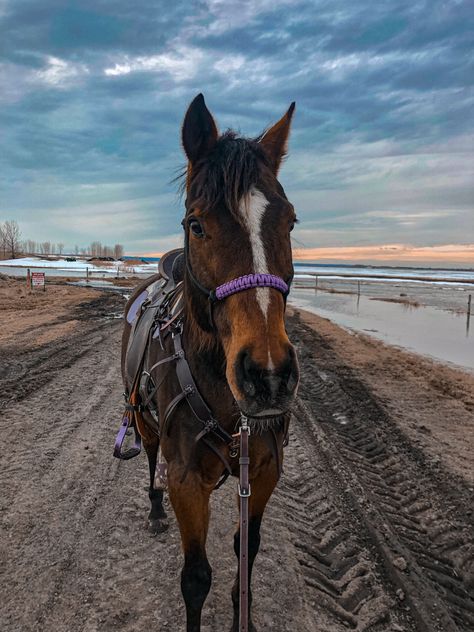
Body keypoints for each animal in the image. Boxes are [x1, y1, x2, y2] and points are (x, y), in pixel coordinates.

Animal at [120, 95, 298, 632]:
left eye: (289, 222)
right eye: (196, 224)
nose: (268, 376)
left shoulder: (264, 469)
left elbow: (248, 549)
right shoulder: (186, 481)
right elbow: (196, 578)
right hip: (144, 422)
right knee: (150, 457)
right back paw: (154, 510)